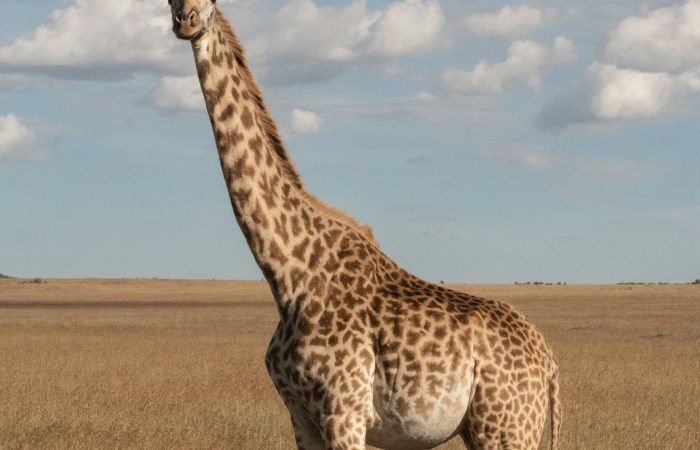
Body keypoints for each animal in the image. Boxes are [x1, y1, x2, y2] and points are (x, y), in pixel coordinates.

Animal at [168, 1, 561, 449]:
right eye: (167, 4)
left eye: (214, 4)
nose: (186, 20)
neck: (288, 276)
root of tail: (550, 365)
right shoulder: (300, 415)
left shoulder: (345, 410)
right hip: (487, 428)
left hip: (507, 425)